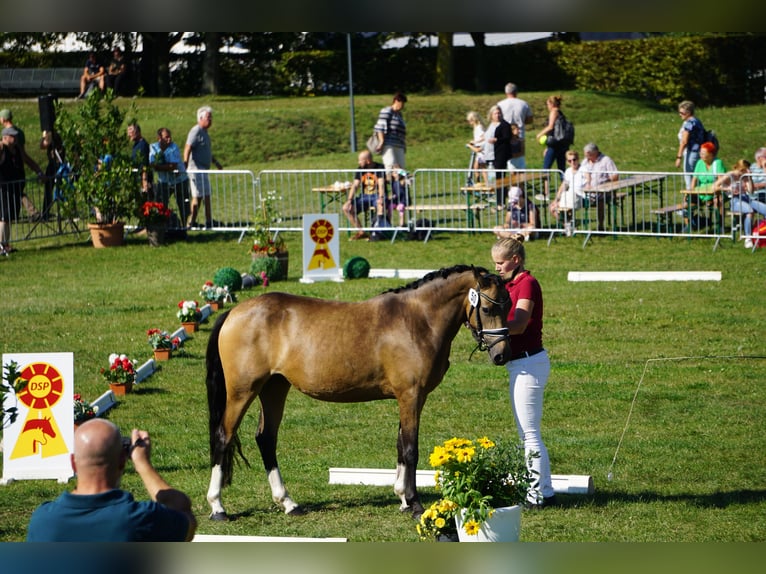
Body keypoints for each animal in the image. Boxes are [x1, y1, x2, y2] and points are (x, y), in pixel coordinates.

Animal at [207, 266, 512, 520]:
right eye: (487, 307)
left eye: (508, 305)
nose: (501, 355)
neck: (417, 320)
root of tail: (234, 312)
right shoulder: (410, 395)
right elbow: (410, 448)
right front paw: (414, 504)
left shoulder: (410, 397)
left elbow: (400, 444)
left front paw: (402, 498)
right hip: (243, 391)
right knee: (224, 436)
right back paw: (218, 507)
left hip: (274, 387)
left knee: (266, 438)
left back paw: (288, 503)